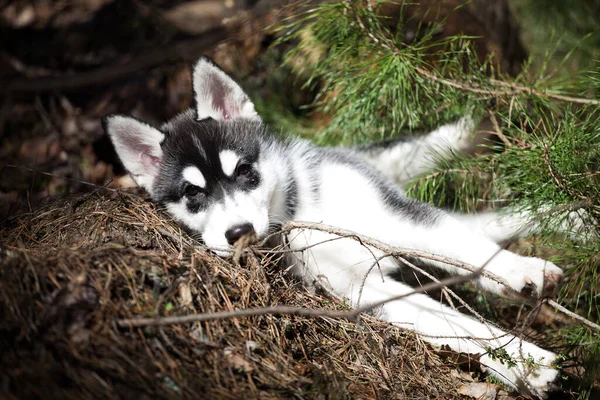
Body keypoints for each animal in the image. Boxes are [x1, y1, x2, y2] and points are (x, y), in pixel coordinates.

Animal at [104, 57, 564, 398]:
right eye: (192, 194)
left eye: (245, 171)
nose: (238, 233)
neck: (295, 217)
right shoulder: (357, 288)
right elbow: (451, 326)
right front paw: (522, 365)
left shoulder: (393, 217)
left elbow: (465, 249)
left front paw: (519, 273)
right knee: (485, 223)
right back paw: (566, 221)